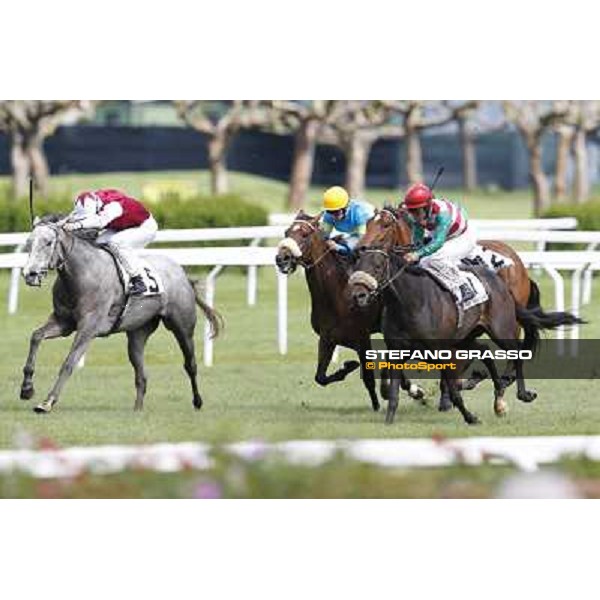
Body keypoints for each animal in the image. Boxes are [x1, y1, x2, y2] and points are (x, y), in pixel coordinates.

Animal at [21, 218, 224, 414]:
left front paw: (47, 402)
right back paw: (137, 409)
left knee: (190, 364)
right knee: (141, 375)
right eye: (29, 243)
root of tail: (182, 273)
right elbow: (36, 336)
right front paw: (26, 388)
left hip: (182, 327)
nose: (29, 274)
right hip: (137, 333)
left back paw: (197, 401)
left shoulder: (89, 327)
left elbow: (69, 362)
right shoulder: (63, 323)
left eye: (48, 243)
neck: (83, 274)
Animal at [274, 211, 424, 412]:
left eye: (304, 234)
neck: (338, 295)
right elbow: (320, 377)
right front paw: (348, 366)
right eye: (286, 232)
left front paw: (377, 405)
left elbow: (368, 377)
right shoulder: (327, 338)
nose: (281, 258)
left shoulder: (362, 338)